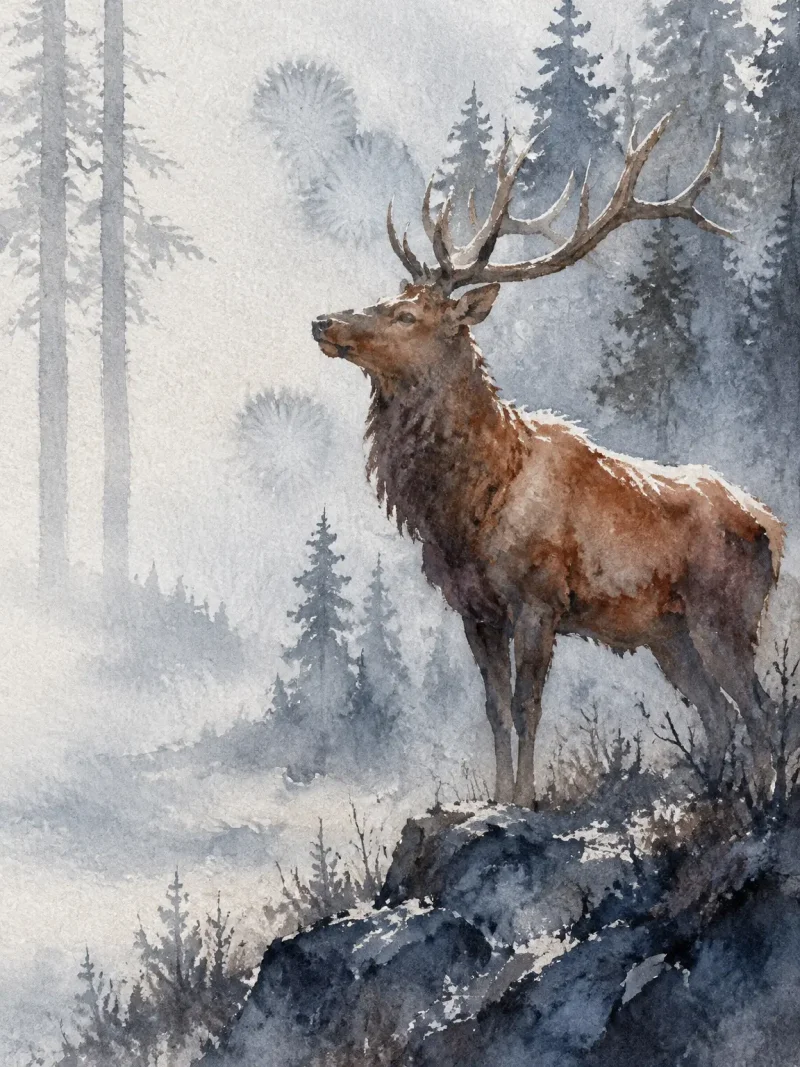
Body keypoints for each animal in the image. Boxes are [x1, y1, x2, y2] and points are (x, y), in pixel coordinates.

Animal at [311, 113, 785, 807]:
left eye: (403, 314)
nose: (322, 321)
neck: (466, 508)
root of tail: (773, 529)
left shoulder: (539, 598)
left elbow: (527, 704)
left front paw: (526, 798)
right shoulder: (474, 608)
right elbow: (493, 708)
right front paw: (498, 794)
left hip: (725, 613)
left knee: (760, 709)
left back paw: (760, 800)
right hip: (670, 634)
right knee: (717, 715)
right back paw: (711, 795)